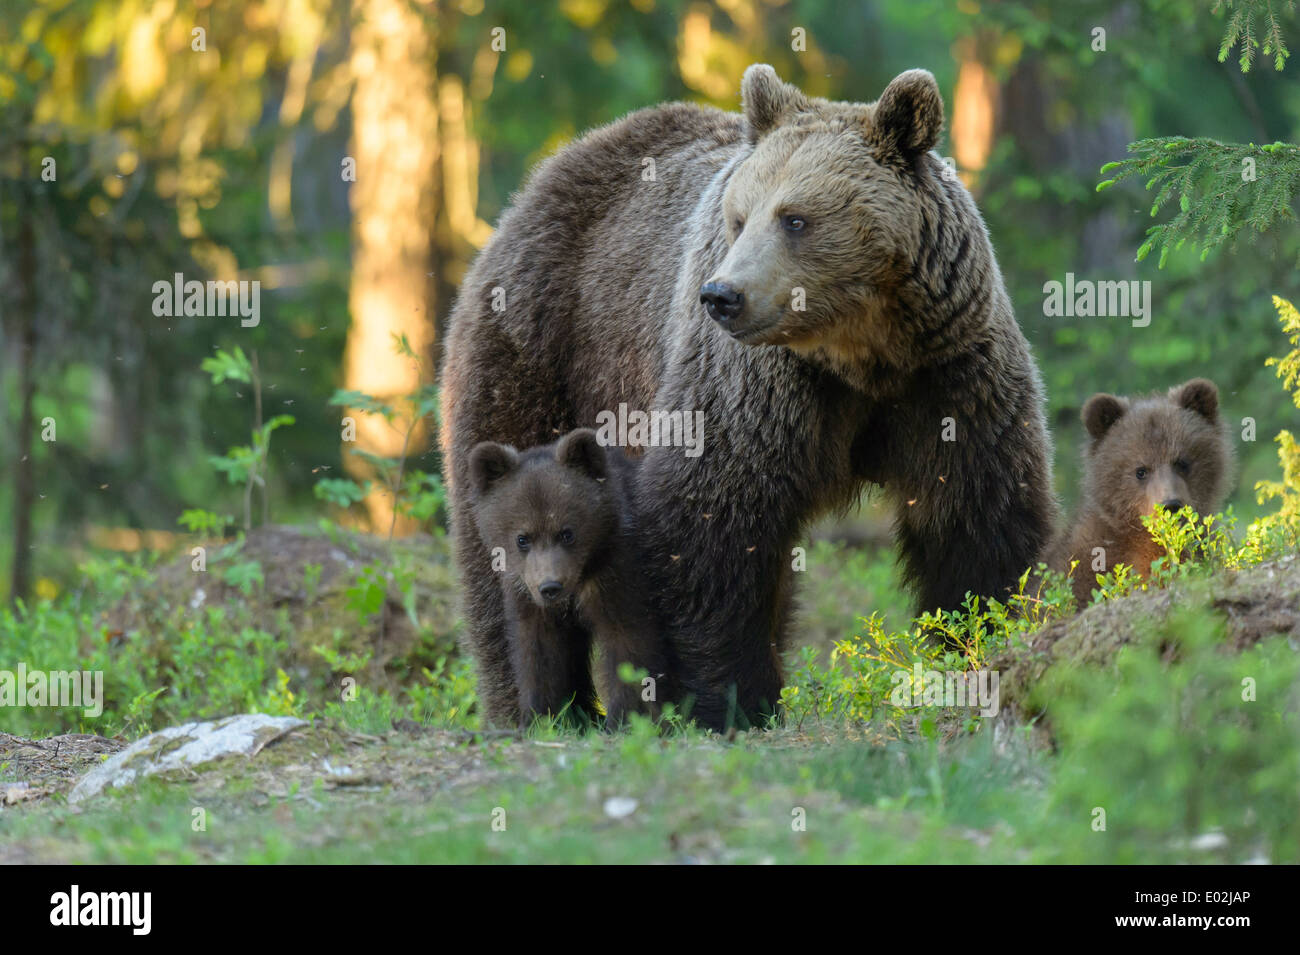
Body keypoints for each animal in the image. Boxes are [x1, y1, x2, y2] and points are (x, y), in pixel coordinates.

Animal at [441, 63, 1050, 727]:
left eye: (795, 218)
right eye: (738, 218)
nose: (722, 295)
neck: (862, 355)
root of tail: (543, 178)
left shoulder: (949, 374)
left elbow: (974, 516)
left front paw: (974, 647)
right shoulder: (755, 387)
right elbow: (716, 519)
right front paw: (732, 698)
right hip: (541, 343)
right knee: (504, 517)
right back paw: (524, 704)